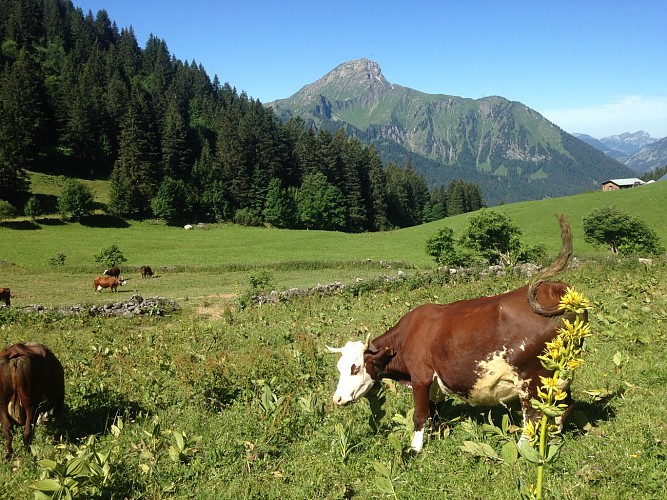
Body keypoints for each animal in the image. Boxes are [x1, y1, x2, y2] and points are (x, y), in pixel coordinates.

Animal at [328, 215, 580, 454]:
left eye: (356, 368)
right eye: (339, 368)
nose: (337, 399)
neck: (407, 336)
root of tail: (555, 289)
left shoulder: (420, 376)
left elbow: (420, 415)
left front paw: (415, 449)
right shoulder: (435, 384)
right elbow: (434, 413)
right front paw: (436, 436)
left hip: (530, 380)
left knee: (532, 416)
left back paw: (522, 450)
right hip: (560, 375)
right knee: (562, 407)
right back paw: (552, 441)